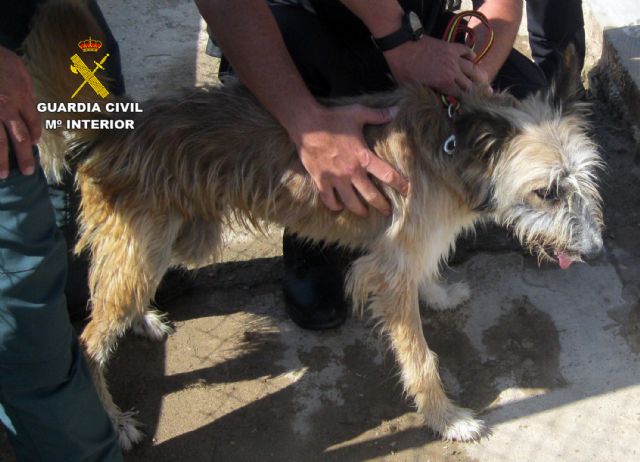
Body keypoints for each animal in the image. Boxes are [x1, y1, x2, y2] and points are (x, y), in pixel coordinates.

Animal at [23, 0, 604, 450]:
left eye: (585, 179)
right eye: (547, 191)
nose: (596, 252)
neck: (449, 144)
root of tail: (116, 131)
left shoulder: (409, 253)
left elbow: (426, 276)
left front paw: (438, 294)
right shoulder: (388, 269)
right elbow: (420, 357)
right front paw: (447, 419)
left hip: (168, 244)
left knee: (116, 297)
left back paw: (142, 318)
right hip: (150, 243)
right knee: (88, 341)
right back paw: (115, 422)